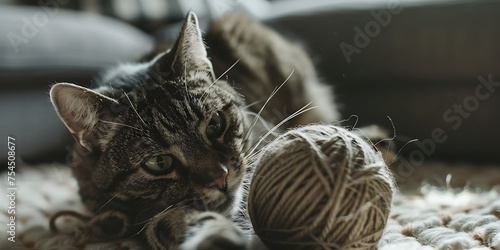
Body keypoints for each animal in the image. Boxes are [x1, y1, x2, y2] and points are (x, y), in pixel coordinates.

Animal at [49, 12, 336, 250]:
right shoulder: (117, 218)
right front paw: (214, 234)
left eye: (215, 124)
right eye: (159, 162)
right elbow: (160, 222)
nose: (220, 178)